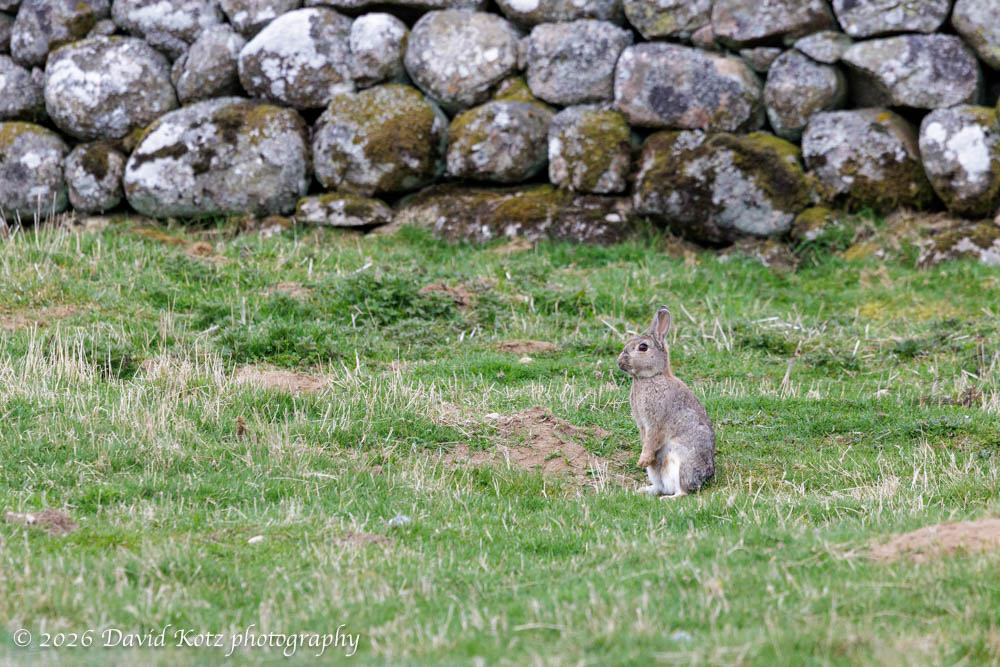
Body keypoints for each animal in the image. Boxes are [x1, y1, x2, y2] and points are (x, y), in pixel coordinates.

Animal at [617, 306, 715, 498]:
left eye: (643, 347)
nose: (620, 362)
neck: (652, 377)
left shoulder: (655, 421)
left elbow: (652, 439)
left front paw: (642, 460)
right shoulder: (642, 424)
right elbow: (646, 440)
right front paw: (644, 459)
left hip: (682, 465)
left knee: (683, 491)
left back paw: (667, 499)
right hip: (655, 473)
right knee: (660, 486)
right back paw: (643, 490)